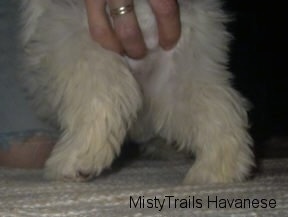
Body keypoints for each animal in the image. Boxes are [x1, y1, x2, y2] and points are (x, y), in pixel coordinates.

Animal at [19, 0, 254, 183]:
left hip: (84, 42)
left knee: (104, 98)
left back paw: (73, 162)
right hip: (184, 73)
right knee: (217, 109)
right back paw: (214, 171)